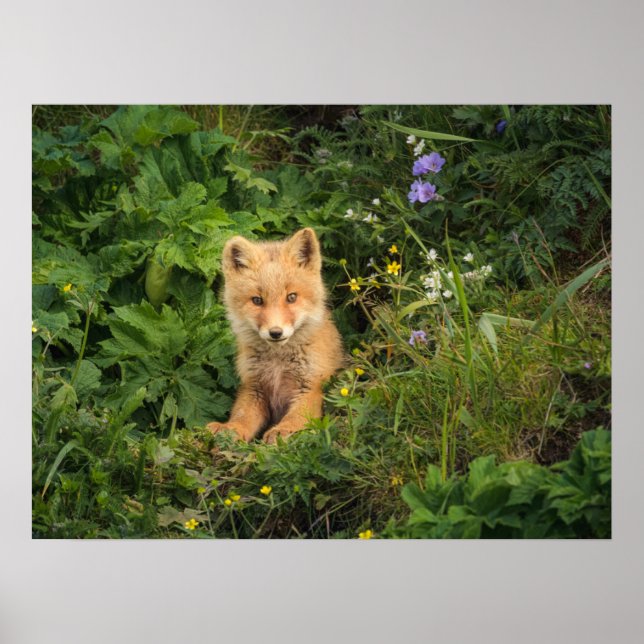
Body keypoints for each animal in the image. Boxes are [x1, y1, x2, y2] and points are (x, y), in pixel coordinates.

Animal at [207, 227, 345, 444]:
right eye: (257, 300)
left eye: (291, 297)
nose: (276, 332)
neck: (278, 363)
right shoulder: (254, 388)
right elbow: (242, 416)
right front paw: (230, 429)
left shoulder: (311, 387)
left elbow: (296, 417)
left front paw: (283, 430)